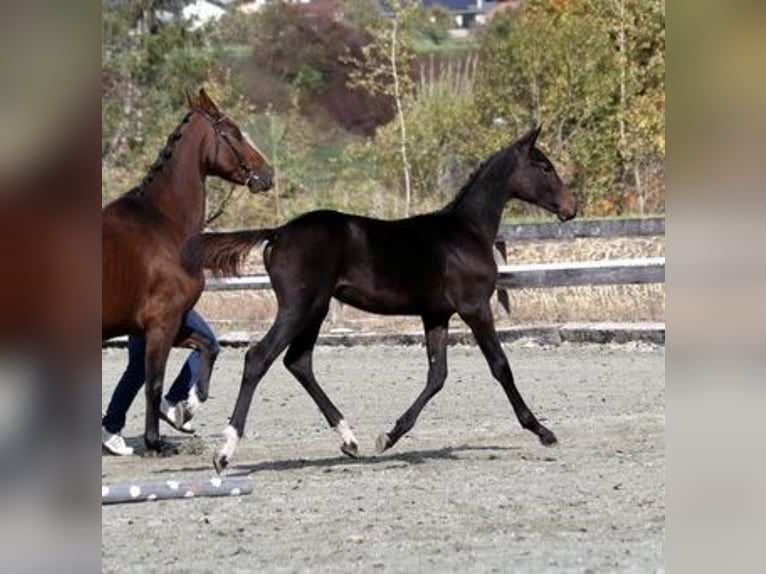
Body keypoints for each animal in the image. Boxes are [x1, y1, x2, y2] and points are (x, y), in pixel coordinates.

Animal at [103, 88, 272, 456]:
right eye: (234, 132)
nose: (267, 174)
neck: (163, 225)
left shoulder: (170, 323)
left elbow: (209, 347)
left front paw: (186, 409)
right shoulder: (162, 324)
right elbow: (153, 383)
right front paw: (156, 442)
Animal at [189, 127, 580, 472]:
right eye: (544, 166)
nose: (572, 207)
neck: (466, 234)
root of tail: (278, 232)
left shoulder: (436, 315)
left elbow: (437, 375)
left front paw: (389, 436)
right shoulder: (475, 308)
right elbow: (500, 366)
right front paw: (542, 431)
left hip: (316, 308)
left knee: (298, 362)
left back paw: (349, 440)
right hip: (299, 307)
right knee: (259, 358)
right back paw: (224, 453)